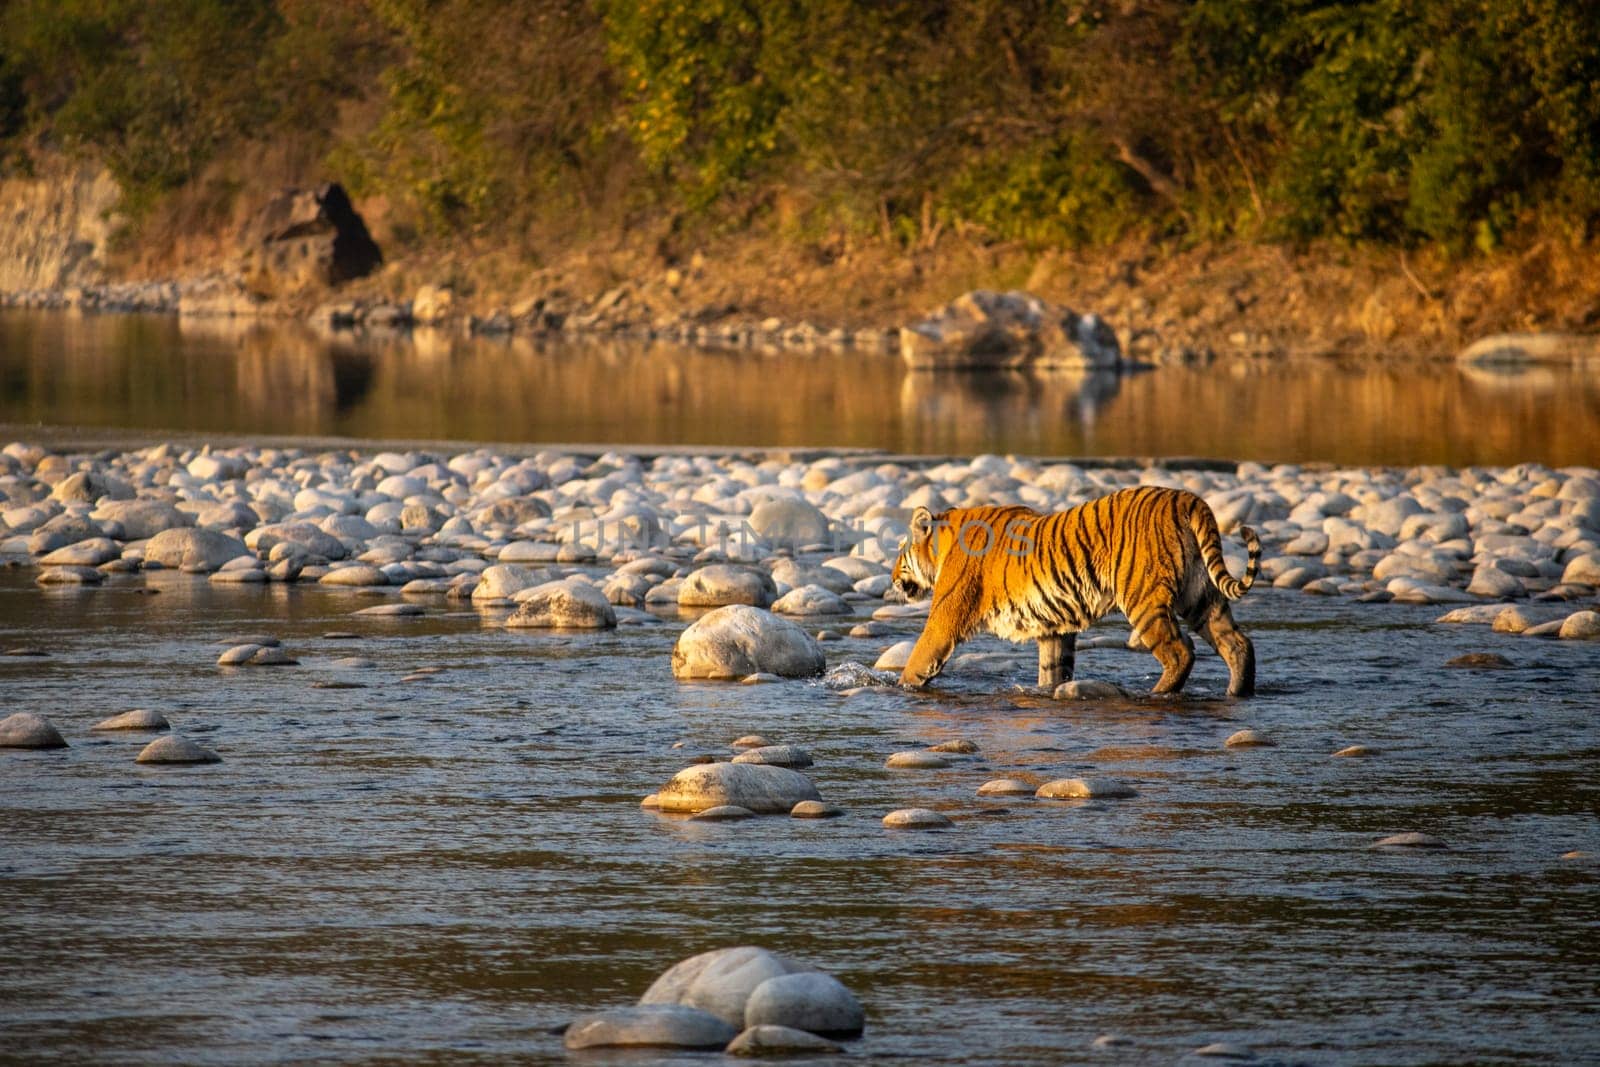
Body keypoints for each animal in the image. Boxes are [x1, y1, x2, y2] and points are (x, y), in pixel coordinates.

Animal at [896, 486, 1254, 700]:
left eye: (900, 552)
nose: (893, 580)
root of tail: (1187, 498)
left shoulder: (944, 618)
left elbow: (919, 658)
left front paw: (898, 688)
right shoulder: (1053, 625)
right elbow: (1053, 669)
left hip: (1144, 598)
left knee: (1180, 652)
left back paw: (1156, 694)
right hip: (1200, 596)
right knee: (1238, 644)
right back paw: (1239, 693)